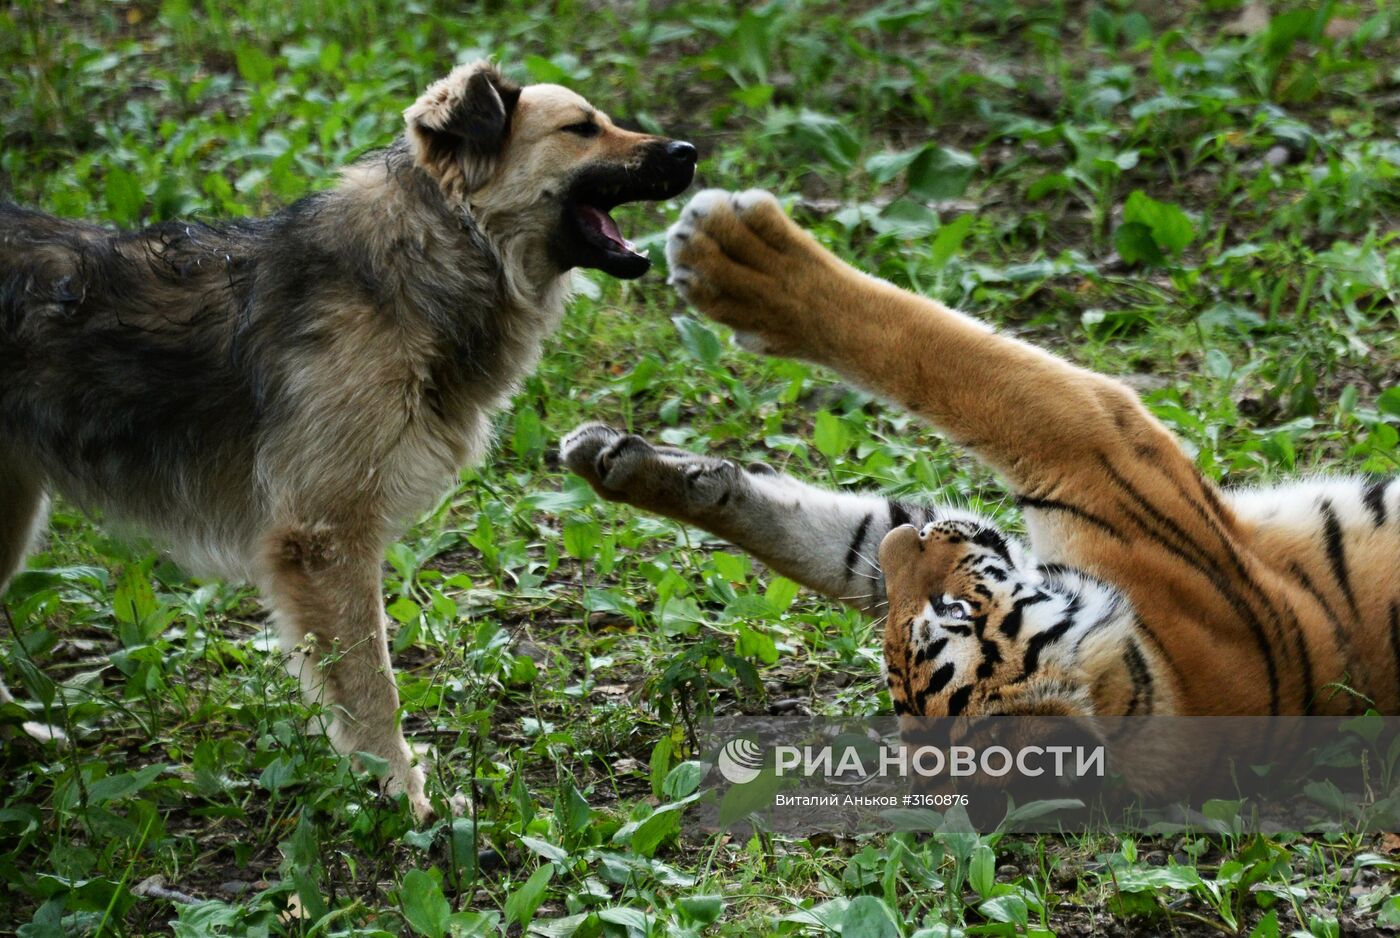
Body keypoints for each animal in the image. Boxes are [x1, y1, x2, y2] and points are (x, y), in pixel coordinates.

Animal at [0, 60, 697, 823]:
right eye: (581, 129)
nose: (689, 152)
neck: (434, 250)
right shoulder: (325, 540)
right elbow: (371, 690)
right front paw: (405, 799)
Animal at [560, 189, 1400, 722]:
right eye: (902, 630)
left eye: (957, 613)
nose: (912, 542)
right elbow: (823, 533)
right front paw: (630, 465)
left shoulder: (1092, 439)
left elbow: (937, 352)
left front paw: (738, 256)